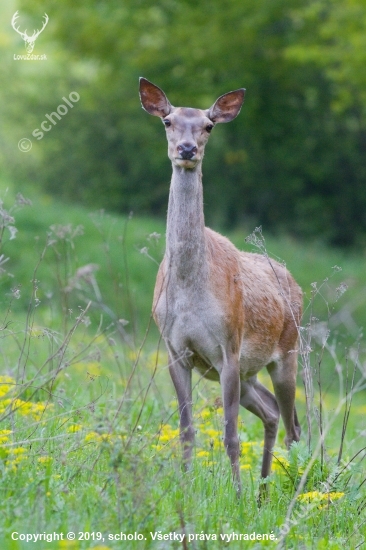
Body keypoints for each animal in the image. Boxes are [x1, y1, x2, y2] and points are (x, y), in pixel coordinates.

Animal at [139, 76, 302, 496]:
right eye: (167, 121)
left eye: (209, 126)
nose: (187, 149)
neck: (189, 290)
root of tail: (294, 281)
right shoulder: (175, 349)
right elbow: (186, 429)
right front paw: (184, 487)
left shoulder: (229, 346)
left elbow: (230, 434)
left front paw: (236, 493)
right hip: (249, 373)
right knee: (272, 412)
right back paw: (264, 488)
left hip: (287, 352)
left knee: (294, 425)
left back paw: (287, 487)